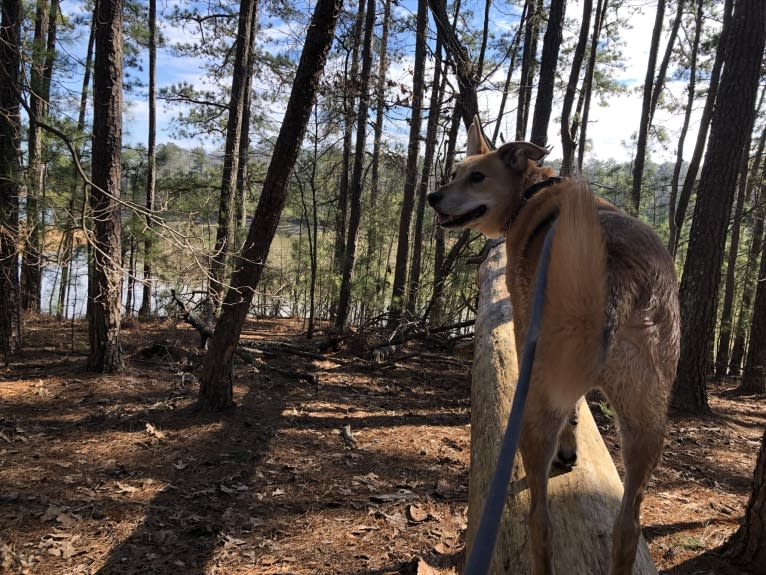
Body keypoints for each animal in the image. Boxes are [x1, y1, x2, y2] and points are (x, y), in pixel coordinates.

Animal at [428, 118, 680, 575]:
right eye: (456, 172)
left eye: (477, 177)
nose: (432, 196)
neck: (533, 191)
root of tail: (618, 276)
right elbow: (577, 409)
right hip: (648, 419)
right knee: (627, 527)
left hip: (535, 404)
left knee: (539, 519)